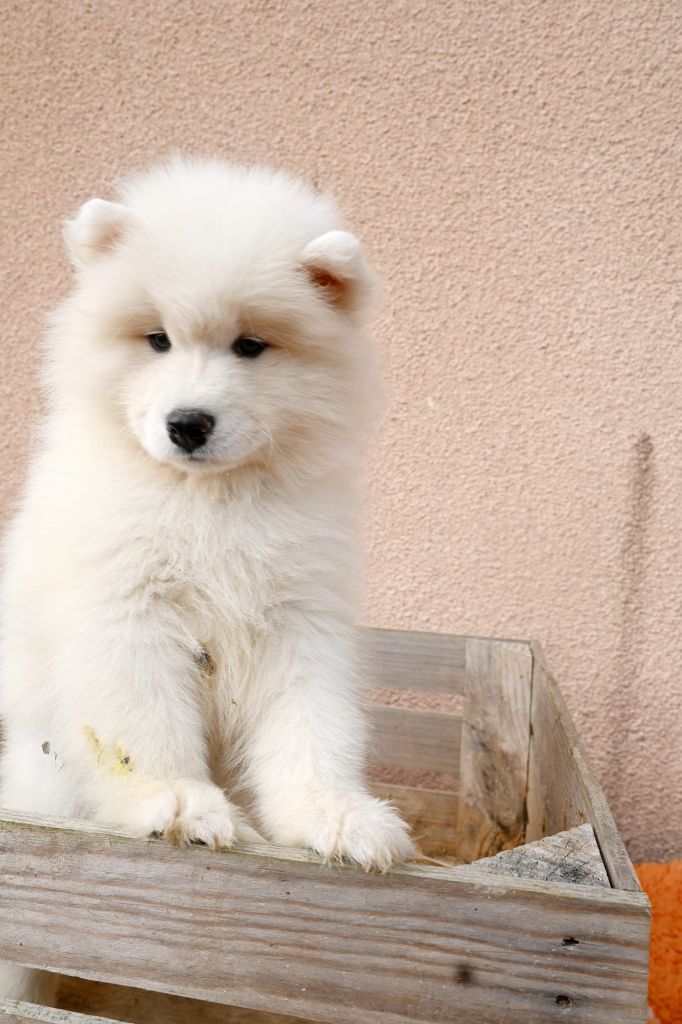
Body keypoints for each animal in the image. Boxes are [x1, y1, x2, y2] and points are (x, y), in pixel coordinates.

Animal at [0, 159, 411, 999]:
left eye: (250, 346)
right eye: (157, 339)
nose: (188, 423)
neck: (208, 500)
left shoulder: (299, 620)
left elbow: (312, 729)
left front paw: (338, 816)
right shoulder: (128, 612)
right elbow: (144, 724)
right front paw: (180, 805)